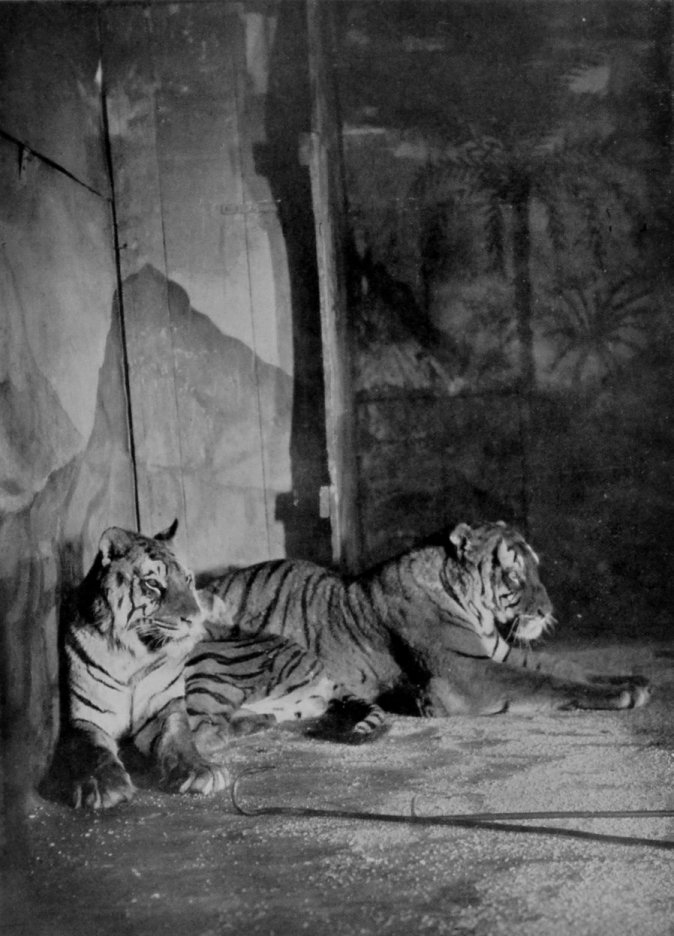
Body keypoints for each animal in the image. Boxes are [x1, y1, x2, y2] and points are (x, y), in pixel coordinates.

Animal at [61, 520, 228, 809]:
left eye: (187, 579)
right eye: (153, 584)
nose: (195, 618)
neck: (133, 654)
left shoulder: (163, 706)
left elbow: (178, 736)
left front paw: (200, 770)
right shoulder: (87, 715)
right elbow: (94, 749)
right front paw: (103, 785)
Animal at [193, 520, 650, 724]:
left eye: (535, 567)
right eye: (513, 574)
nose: (546, 611)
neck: (478, 611)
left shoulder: (499, 652)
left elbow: (566, 667)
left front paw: (633, 679)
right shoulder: (468, 672)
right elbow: (548, 682)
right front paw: (624, 694)